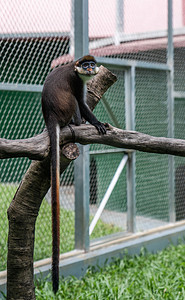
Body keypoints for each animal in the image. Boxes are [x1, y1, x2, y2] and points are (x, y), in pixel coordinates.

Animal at [41, 55, 106, 294]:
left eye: (91, 64)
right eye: (85, 65)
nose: (90, 68)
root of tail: (50, 116)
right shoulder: (77, 81)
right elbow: (81, 102)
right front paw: (96, 122)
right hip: (66, 108)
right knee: (75, 103)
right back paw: (77, 123)